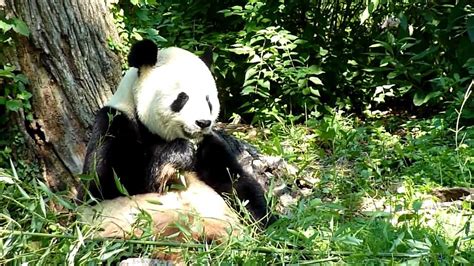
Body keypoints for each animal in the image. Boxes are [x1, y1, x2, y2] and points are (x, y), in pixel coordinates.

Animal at [83, 39, 272, 241]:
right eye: (182, 98)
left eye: (208, 100)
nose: (203, 122)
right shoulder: (114, 120)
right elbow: (103, 183)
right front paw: (178, 154)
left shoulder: (208, 144)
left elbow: (235, 182)